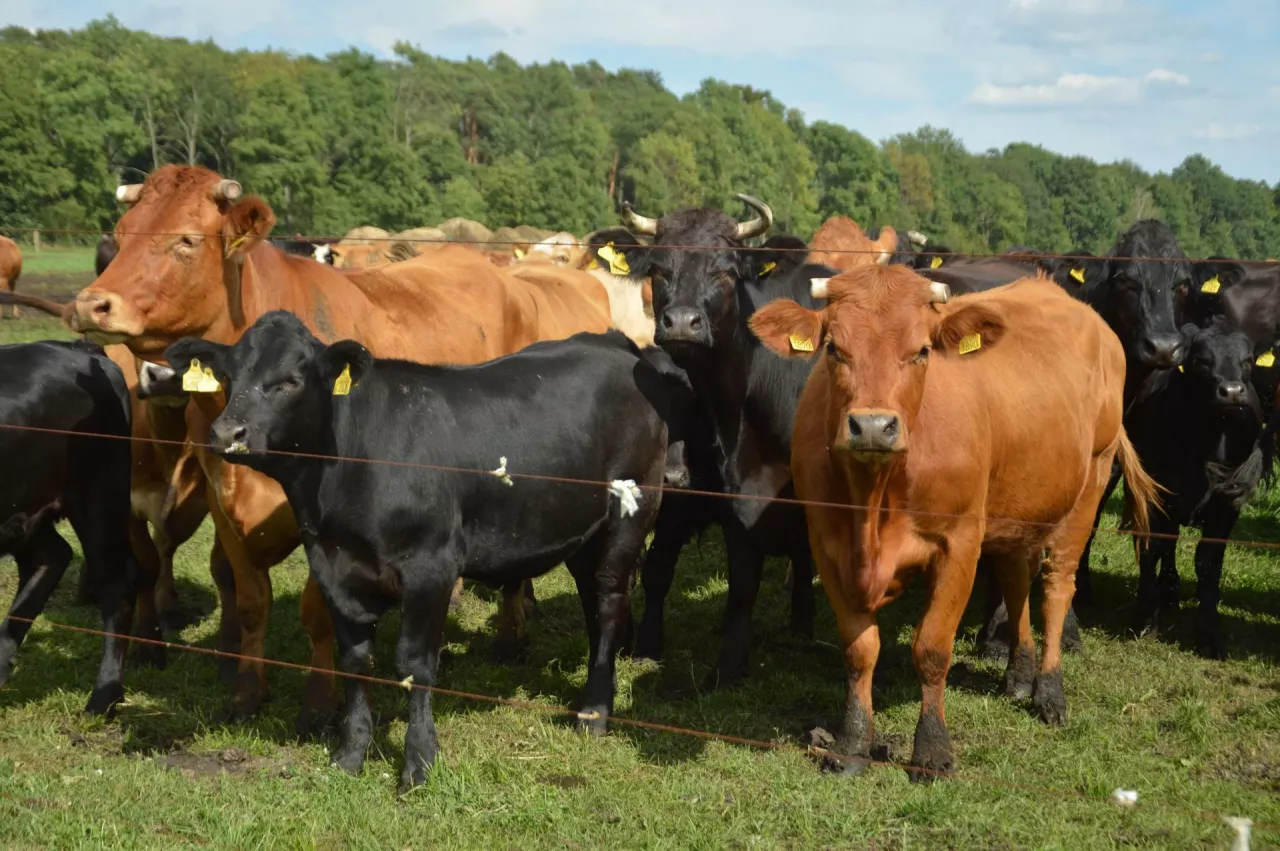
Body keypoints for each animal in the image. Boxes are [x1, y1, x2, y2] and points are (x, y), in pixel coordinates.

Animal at [165, 312, 675, 788]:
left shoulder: (431, 568)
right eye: (229, 377)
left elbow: (415, 665)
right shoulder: (333, 568)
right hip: (580, 531)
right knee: (593, 600)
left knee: (608, 600)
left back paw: (594, 712)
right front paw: (351, 754)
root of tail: (613, 342)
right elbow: (356, 662)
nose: (227, 433)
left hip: (631, 513)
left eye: (290, 380)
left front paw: (419, 761)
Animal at [606, 191, 819, 685]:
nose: (682, 323)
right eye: (659, 268)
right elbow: (734, 586)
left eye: (725, 269)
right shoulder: (730, 502)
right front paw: (721, 664)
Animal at [747, 263, 1162, 778]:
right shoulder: (827, 543)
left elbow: (931, 649)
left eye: (922, 350)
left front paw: (932, 750)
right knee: (1016, 578)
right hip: (1017, 505)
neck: (875, 499)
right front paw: (851, 744)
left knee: (1056, 585)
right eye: (834, 349)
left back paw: (1049, 690)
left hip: (1092, 479)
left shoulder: (958, 544)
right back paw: (1019, 672)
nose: (872, 427)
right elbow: (859, 650)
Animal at [1126, 318, 1264, 655]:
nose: (1231, 392)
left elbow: (1208, 562)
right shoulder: (1153, 491)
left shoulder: (1227, 502)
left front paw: (1209, 634)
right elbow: (1152, 545)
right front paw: (1147, 619)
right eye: (1201, 360)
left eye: (1247, 360)